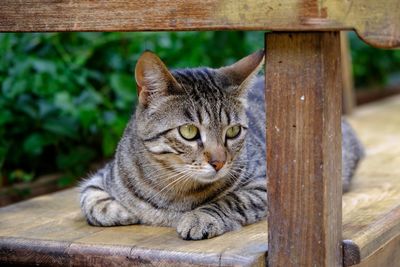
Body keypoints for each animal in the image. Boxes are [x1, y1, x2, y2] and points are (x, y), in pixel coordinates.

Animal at [79, 50, 364, 241]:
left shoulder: (267, 184)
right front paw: (121, 210)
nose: (219, 162)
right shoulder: (104, 174)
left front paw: (200, 217)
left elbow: (231, 200)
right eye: (189, 131)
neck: (171, 191)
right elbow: (89, 197)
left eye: (234, 131)